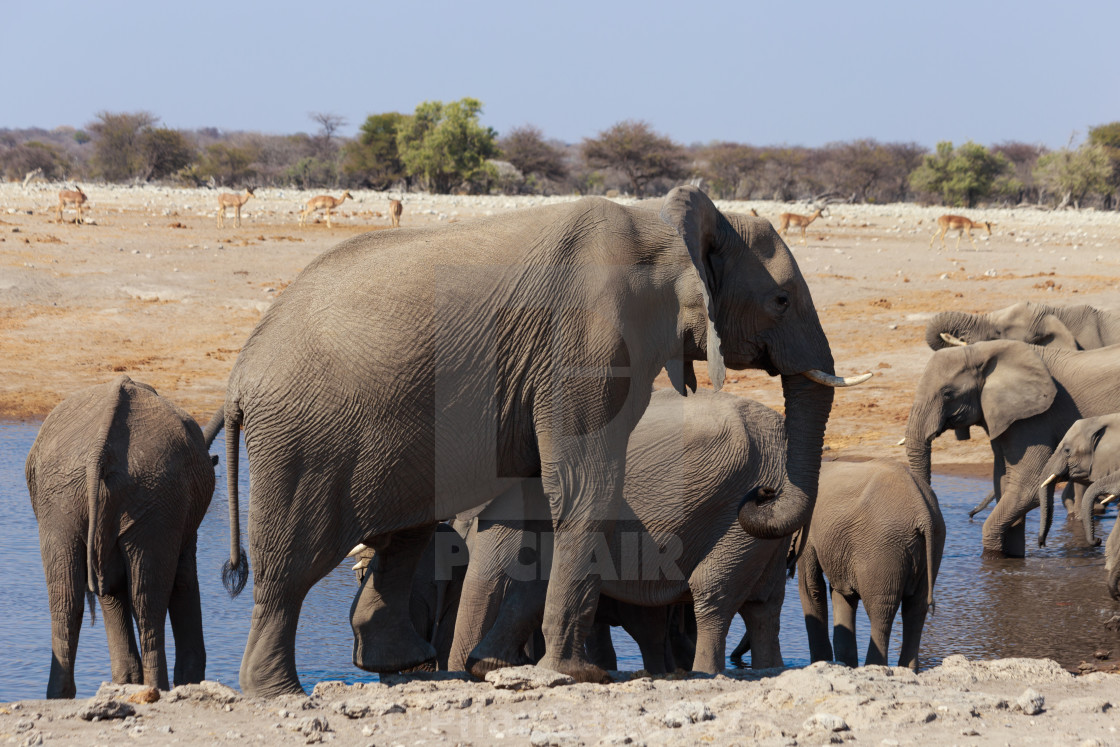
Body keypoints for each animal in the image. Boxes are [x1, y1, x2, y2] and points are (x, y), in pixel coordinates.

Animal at [27, 376, 218, 698]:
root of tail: (99, 451)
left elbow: (112, 586)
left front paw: (127, 681)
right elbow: (182, 579)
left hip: (66, 498)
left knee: (67, 598)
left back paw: (58, 695)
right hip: (150, 496)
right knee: (148, 602)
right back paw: (157, 688)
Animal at [450, 389, 792, 676]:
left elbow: (503, 573)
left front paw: (485, 666)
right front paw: (491, 665)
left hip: (739, 512)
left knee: (713, 595)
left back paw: (703, 673)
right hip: (766, 523)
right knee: (763, 606)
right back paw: (767, 669)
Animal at [797, 461, 945, 671]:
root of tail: (922, 510)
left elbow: (811, 587)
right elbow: (841, 594)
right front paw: (845, 664)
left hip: (884, 547)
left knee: (880, 611)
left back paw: (875, 666)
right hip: (934, 541)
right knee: (916, 607)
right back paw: (907, 670)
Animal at [904, 342, 1120, 557]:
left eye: (948, 393)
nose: (1042, 544)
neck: (980, 351)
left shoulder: (1034, 418)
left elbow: (1028, 487)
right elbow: (1004, 481)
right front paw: (1010, 558)